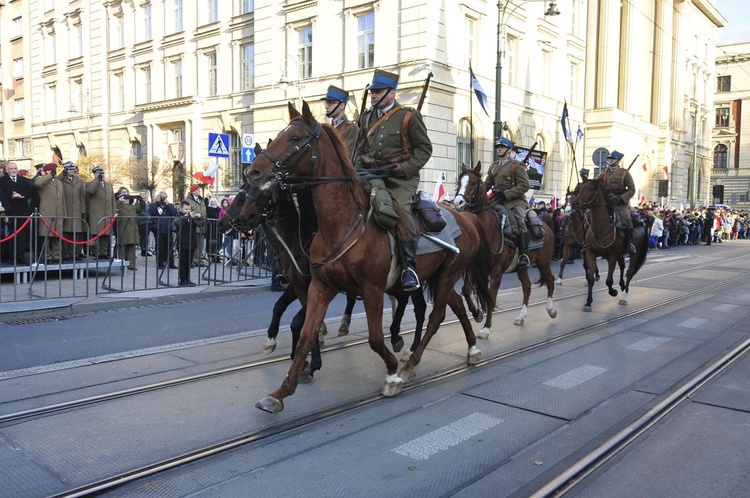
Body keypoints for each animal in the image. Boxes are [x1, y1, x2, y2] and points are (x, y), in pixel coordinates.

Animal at [245, 101, 494, 412]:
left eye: (294, 138)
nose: (253, 172)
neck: (340, 223)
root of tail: (466, 218)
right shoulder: (320, 287)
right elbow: (305, 335)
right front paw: (281, 392)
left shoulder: (372, 289)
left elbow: (375, 339)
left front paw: (391, 375)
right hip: (438, 278)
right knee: (457, 307)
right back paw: (470, 348)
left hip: (449, 275)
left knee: (437, 316)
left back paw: (410, 363)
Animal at [452, 163, 560, 338]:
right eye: (459, 182)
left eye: (473, 183)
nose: (458, 202)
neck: (488, 230)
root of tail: (545, 225)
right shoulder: (477, 269)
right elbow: (466, 290)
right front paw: (477, 314)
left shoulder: (496, 272)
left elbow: (491, 298)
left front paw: (486, 328)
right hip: (521, 268)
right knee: (527, 287)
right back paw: (521, 316)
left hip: (543, 262)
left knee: (550, 280)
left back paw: (551, 310)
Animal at [572, 179, 648, 312]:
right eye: (580, 188)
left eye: (591, 189)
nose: (575, 204)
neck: (601, 228)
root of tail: (641, 221)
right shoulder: (591, 254)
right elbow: (591, 279)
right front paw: (588, 302)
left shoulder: (611, 256)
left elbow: (609, 280)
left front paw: (613, 292)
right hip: (620, 253)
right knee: (622, 266)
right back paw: (622, 285)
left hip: (635, 252)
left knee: (629, 272)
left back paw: (624, 296)